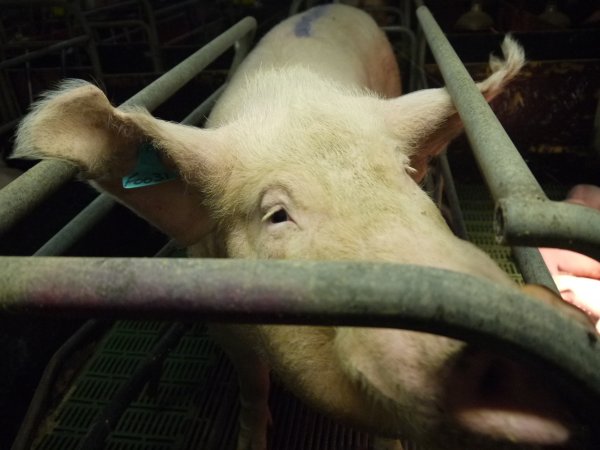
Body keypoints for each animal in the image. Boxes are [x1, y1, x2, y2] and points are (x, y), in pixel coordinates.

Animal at [11, 3, 592, 450]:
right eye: (277, 215)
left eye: (406, 176)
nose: (518, 333)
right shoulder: (225, 325)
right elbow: (253, 386)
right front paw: (251, 440)